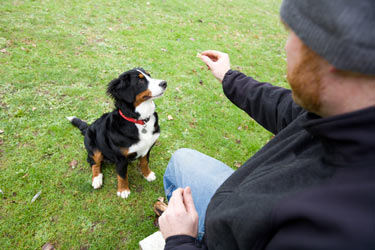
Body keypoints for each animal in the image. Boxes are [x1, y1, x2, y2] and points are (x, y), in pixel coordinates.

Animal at [67, 67, 167, 198]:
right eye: (140, 81)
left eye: (149, 75)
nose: (164, 83)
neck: (140, 121)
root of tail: (88, 127)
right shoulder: (121, 157)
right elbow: (122, 175)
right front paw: (123, 190)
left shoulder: (147, 148)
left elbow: (145, 163)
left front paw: (148, 175)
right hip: (93, 146)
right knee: (94, 162)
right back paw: (97, 179)